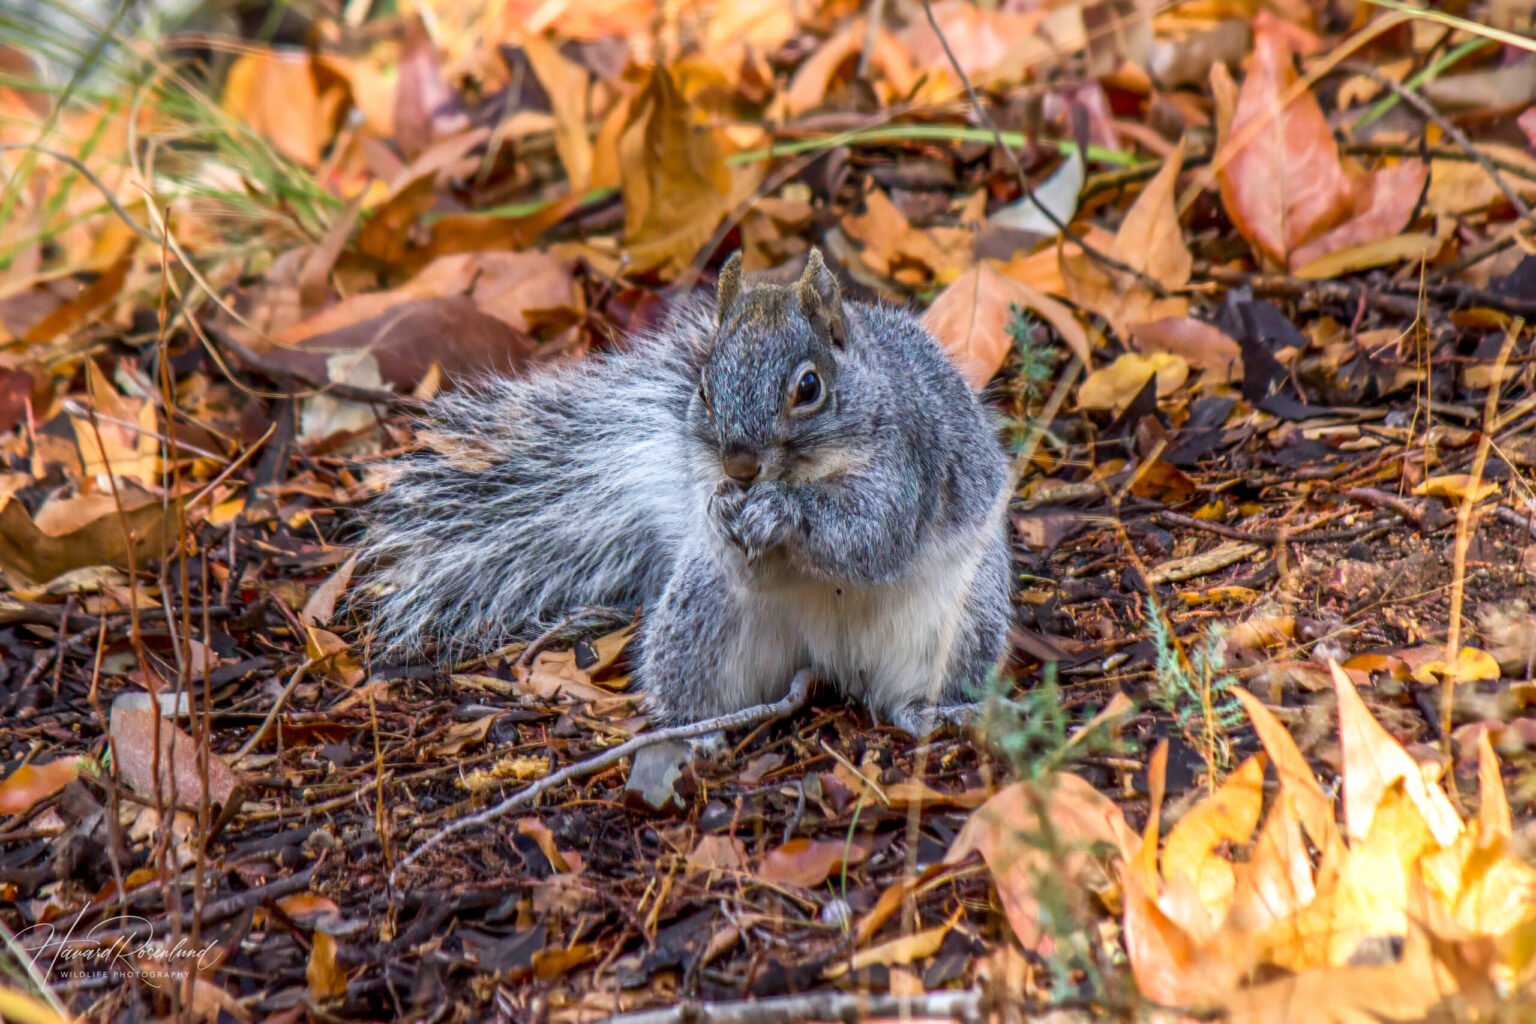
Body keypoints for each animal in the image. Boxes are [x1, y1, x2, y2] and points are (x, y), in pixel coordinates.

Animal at [357, 249, 1015, 735]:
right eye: (703, 388)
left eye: (809, 388)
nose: (739, 467)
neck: (803, 473)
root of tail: (830, 660)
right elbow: (746, 554)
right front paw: (723, 511)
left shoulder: (910, 461)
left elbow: (874, 533)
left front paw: (783, 512)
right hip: (698, 620)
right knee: (696, 684)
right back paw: (694, 735)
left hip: (961, 623)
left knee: (911, 689)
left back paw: (932, 713)